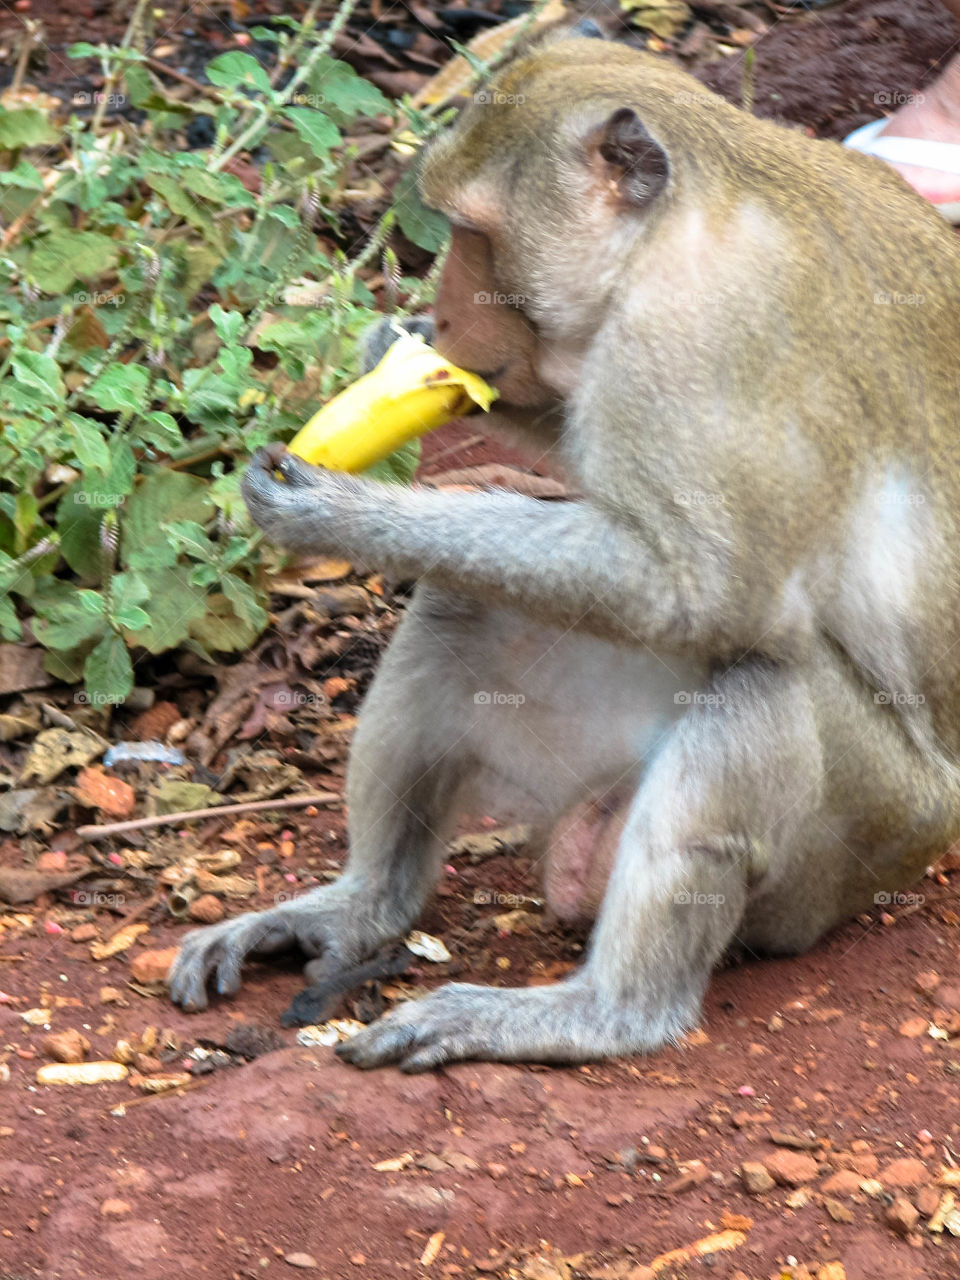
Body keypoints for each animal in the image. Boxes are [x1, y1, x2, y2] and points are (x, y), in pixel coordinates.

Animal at [169, 35, 960, 1072]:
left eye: (471, 231)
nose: (444, 315)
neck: (692, 211)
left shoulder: (701, 337)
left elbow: (696, 594)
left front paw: (338, 511)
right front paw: (394, 346)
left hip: (857, 846)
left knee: (757, 681)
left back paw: (607, 1012)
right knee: (463, 607)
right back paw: (363, 907)